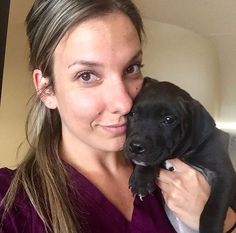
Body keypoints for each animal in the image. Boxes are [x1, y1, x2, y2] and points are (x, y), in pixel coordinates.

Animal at [124, 77, 235, 233]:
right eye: (132, 114)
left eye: (169, 120)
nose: (135, 147)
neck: (180, 154)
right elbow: (148, 161)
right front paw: (141, 179)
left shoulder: (222, 174)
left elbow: (213, 208)